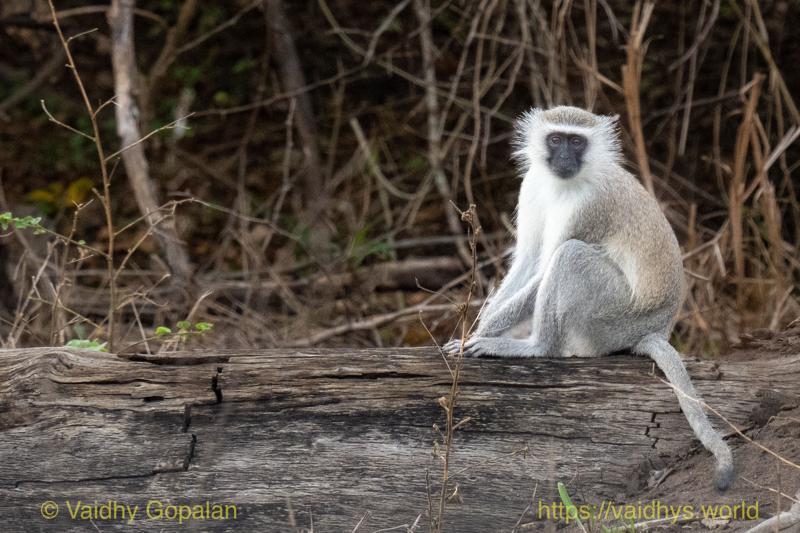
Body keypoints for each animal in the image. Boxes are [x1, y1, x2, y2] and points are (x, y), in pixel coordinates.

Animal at [443, 106, 734, 491]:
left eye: (576, 142)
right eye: (556, 139)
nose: (565, 157)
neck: (563, 185)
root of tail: (655, 328)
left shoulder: (590, 207)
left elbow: (544, 269)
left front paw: (478, 336)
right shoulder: (531, 185)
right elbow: (528, 259)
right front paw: (477, 329)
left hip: (611, 318)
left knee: (570, 255)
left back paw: (537, 347)